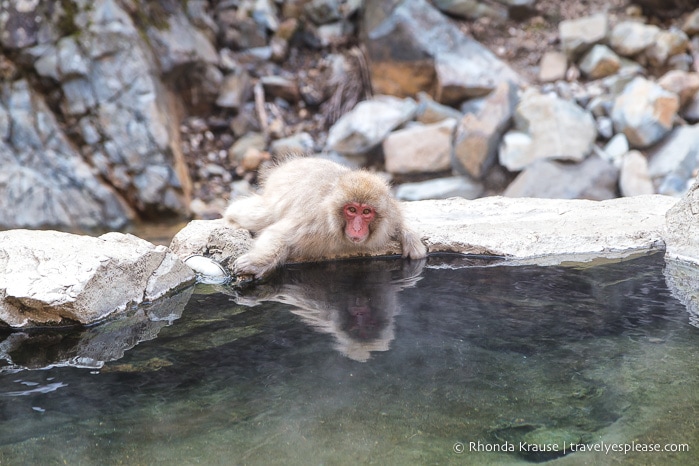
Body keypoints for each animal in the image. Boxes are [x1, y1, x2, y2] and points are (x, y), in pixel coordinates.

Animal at [227, 158, 430, 278]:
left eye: (366, 212)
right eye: (351, 210)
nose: (357, 228)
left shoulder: (390, 213)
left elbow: (398, 221)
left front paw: (412, 240)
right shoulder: (314, 223)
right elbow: (279, 234)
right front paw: (256, 263)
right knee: (261, 214)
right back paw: (231, 217)